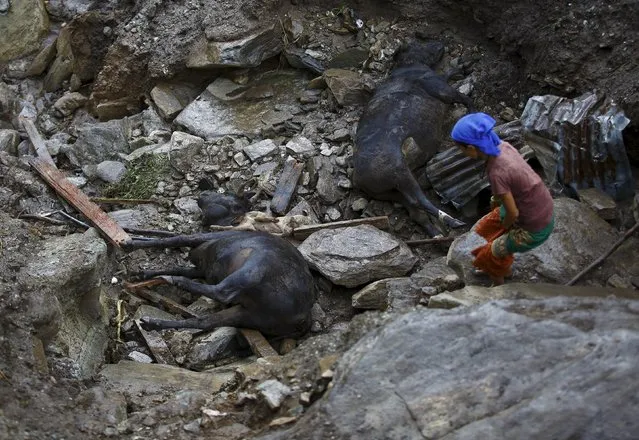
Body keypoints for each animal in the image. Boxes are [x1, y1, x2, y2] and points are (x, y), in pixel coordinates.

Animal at [124, 230, 316, 336]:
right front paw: (141, 273)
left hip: (256, 266)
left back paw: (171, 281)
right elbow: (177, 265)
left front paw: (130, 244)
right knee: (205, 322)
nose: (192, 255)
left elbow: (177, 239)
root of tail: (302, 317)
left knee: (222, 292)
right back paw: (152, 323)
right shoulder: (201, 270)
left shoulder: (207, 238)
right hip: (254, 316)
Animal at [352, 40, 478, 237]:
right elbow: (460, 95)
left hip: (387, 192)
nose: (439, 43)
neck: (409, 65)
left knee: (414, 211)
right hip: (400, 172)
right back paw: (453, 222)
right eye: (420, 44)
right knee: (419, 201)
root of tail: (358, 178)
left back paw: (437, 232)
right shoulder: (439, 87)